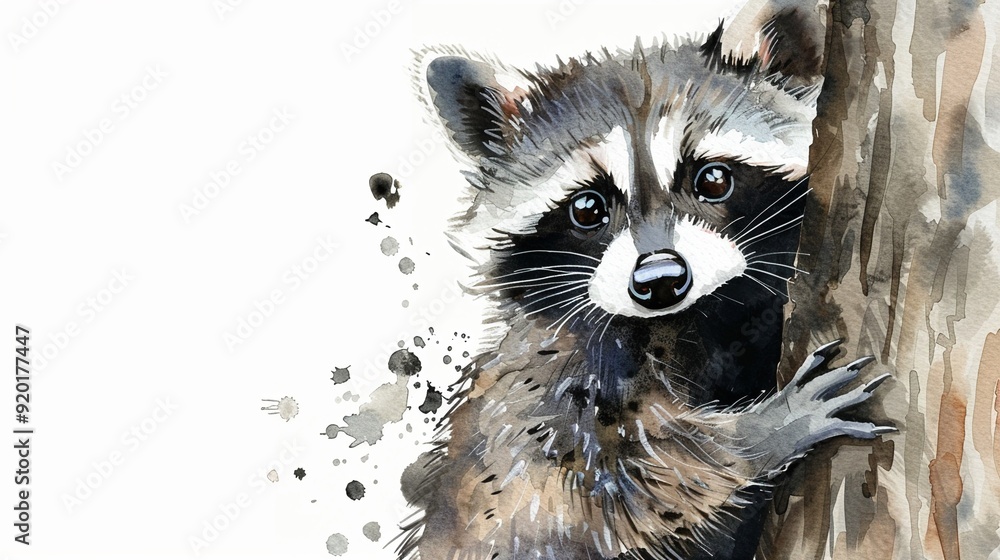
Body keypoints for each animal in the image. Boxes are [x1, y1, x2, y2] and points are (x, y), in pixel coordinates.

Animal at [397, 6, 892, 560]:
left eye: (713, 179)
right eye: (587, 207)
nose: (660, 281)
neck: (696, 319)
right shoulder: (543, 374)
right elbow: (608, 478)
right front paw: (764, 433)